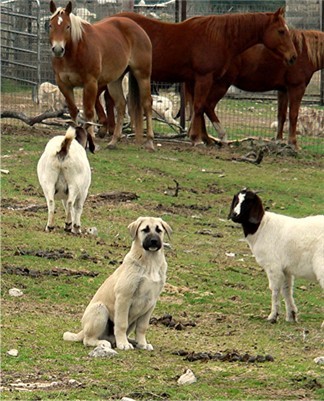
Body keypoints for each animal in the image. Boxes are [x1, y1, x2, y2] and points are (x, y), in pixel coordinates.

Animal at [48, 1, 154, 150]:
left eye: (68, 26)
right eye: (50, 25)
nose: (58, 49)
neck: (74, 52)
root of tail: (138, 28)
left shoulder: (90, 83)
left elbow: (89, 112)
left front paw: (91, 139)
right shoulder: (64, 85)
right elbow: (73, 111)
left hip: (142, 75)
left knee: (147, 103)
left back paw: (150, 141)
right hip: (115, 80)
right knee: (121, 105)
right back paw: (114, 141)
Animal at [63, 216, 172, 350]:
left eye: (159, 230)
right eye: (145, 230)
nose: (153, 241)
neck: (150, 262)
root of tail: (83, 331)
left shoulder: (151, 303)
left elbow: (142, 327)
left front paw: (143, 344)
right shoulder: (124, 298)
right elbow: (121, 324)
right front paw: (123, 344)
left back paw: (132, 341)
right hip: (100, 309)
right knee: (88, 340)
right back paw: (104, 343)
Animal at [107, 9, 298, 145]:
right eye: (281, 31)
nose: (293, 57)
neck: (220, 36)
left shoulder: (195, 80)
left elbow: (199, 107)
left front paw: (203, 137)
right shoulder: (204, 78)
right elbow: (199, 106)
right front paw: (197, 138)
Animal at [228, 189, 324, 324]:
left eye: (248, 202)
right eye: (236, 200)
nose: (234, 215)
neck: (261, 227)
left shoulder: (273, 266)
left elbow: (275, 290)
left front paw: (273, 316)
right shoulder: (285, 269)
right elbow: (287, 290)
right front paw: (291, 316)